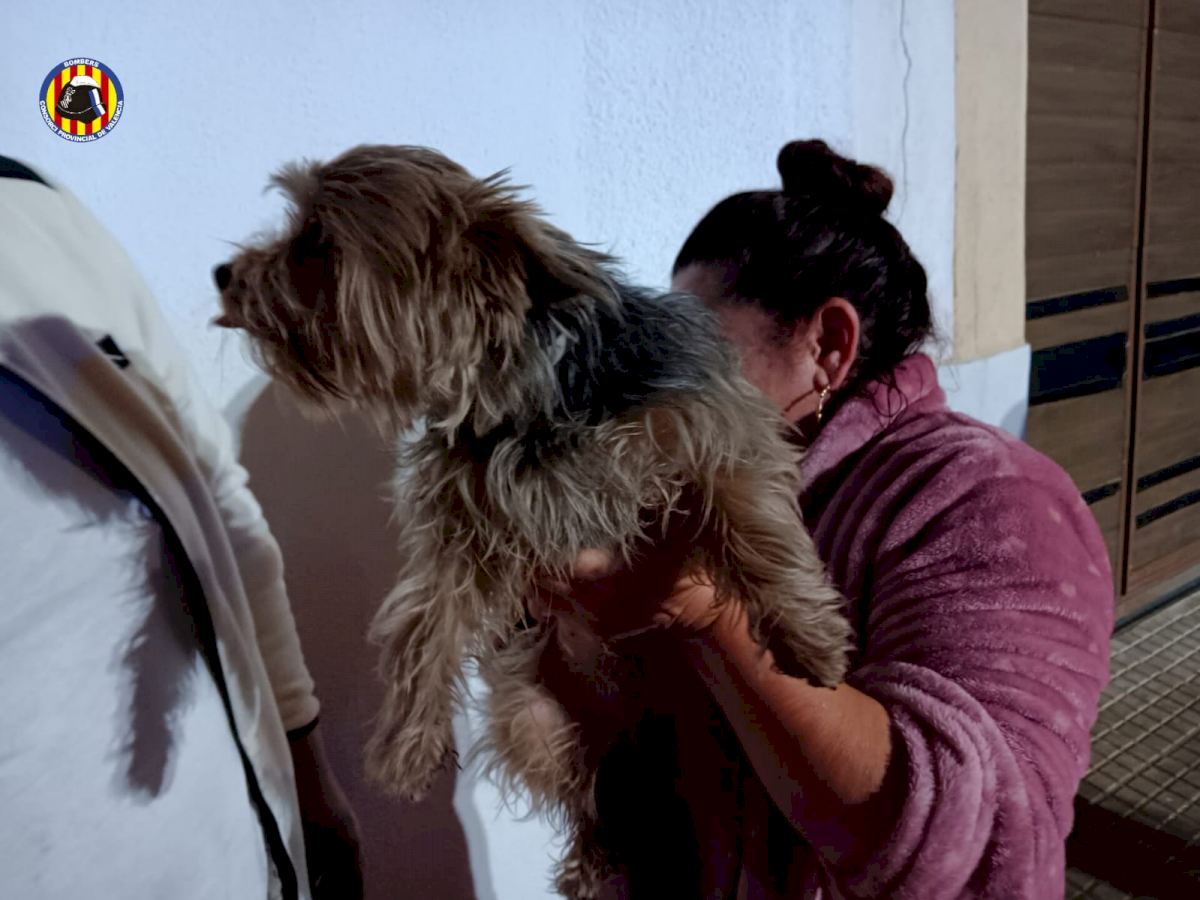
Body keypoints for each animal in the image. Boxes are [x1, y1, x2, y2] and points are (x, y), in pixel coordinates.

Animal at [214, 144, 851, 897]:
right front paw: (406, 742)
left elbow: (753, 521)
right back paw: (592, 860)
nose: (224, 274)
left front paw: (807, 635)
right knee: (591, 790)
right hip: (534, 719)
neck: (521, 398)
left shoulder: (710, 425)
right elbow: (422, 623)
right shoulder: (460, 525)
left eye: (315, 241)